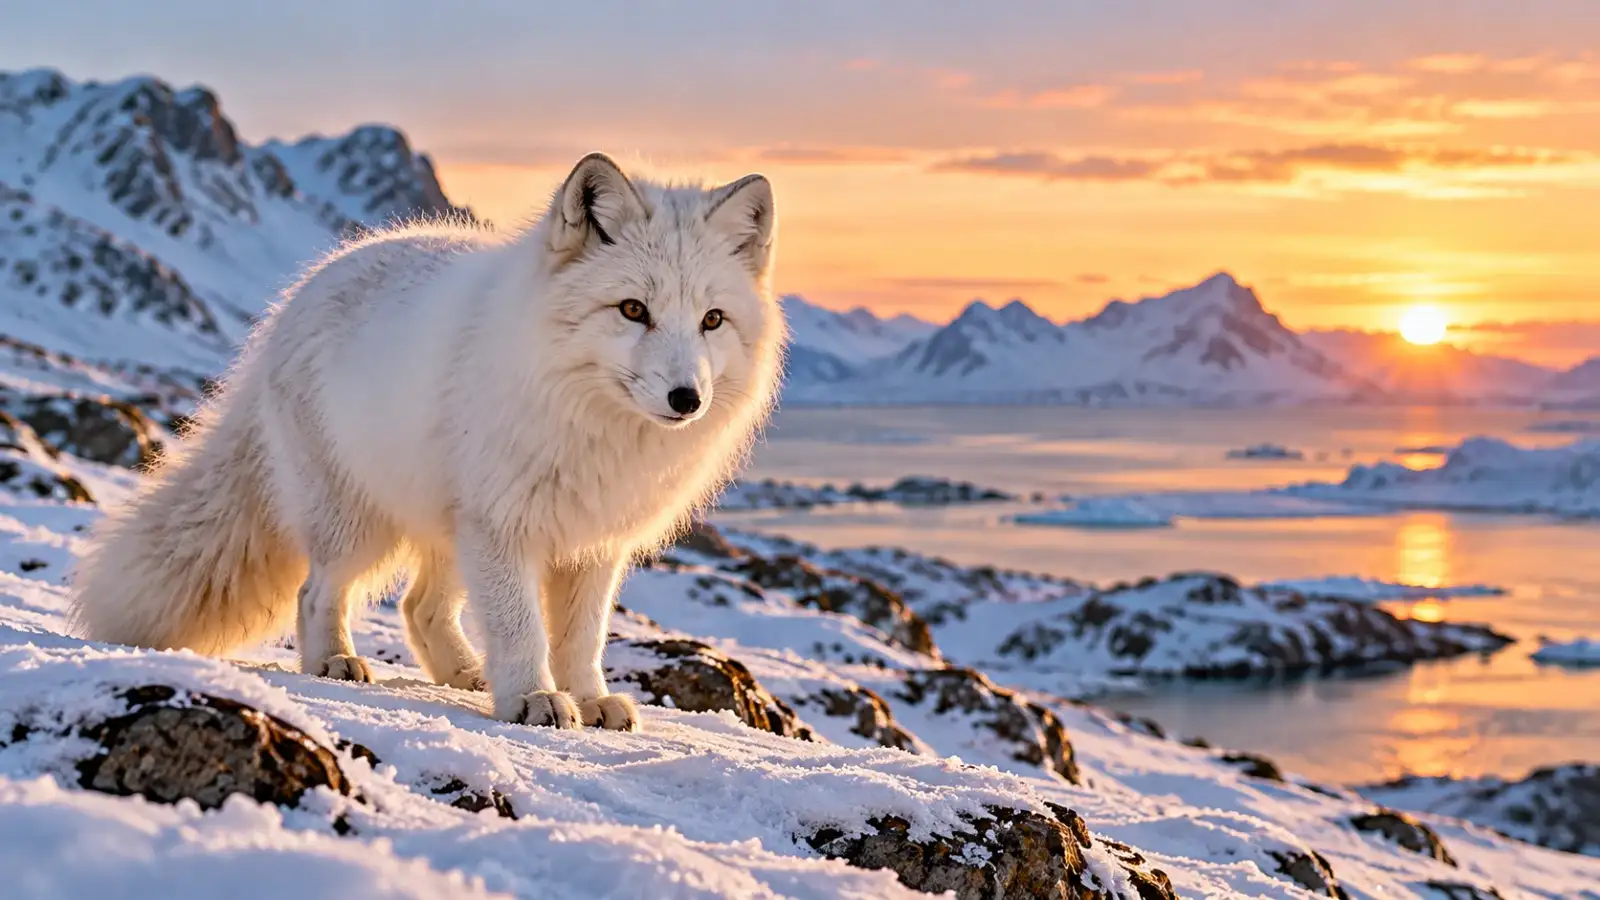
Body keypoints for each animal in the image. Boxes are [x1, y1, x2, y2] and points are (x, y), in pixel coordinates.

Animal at [68, 152, 785, 730]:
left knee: (420, 607)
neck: (589, 421)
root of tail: (294, 299)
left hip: (449, 532)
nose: (687, 399)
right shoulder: (504, 526)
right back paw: (335, 659)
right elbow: (522, 630)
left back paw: (465, 673)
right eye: (634, 310)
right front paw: (533, 699)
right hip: (361, 525)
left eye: (712, 321)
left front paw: (586, 698)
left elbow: (582, 639)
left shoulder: (593, 543)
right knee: (317, 593)